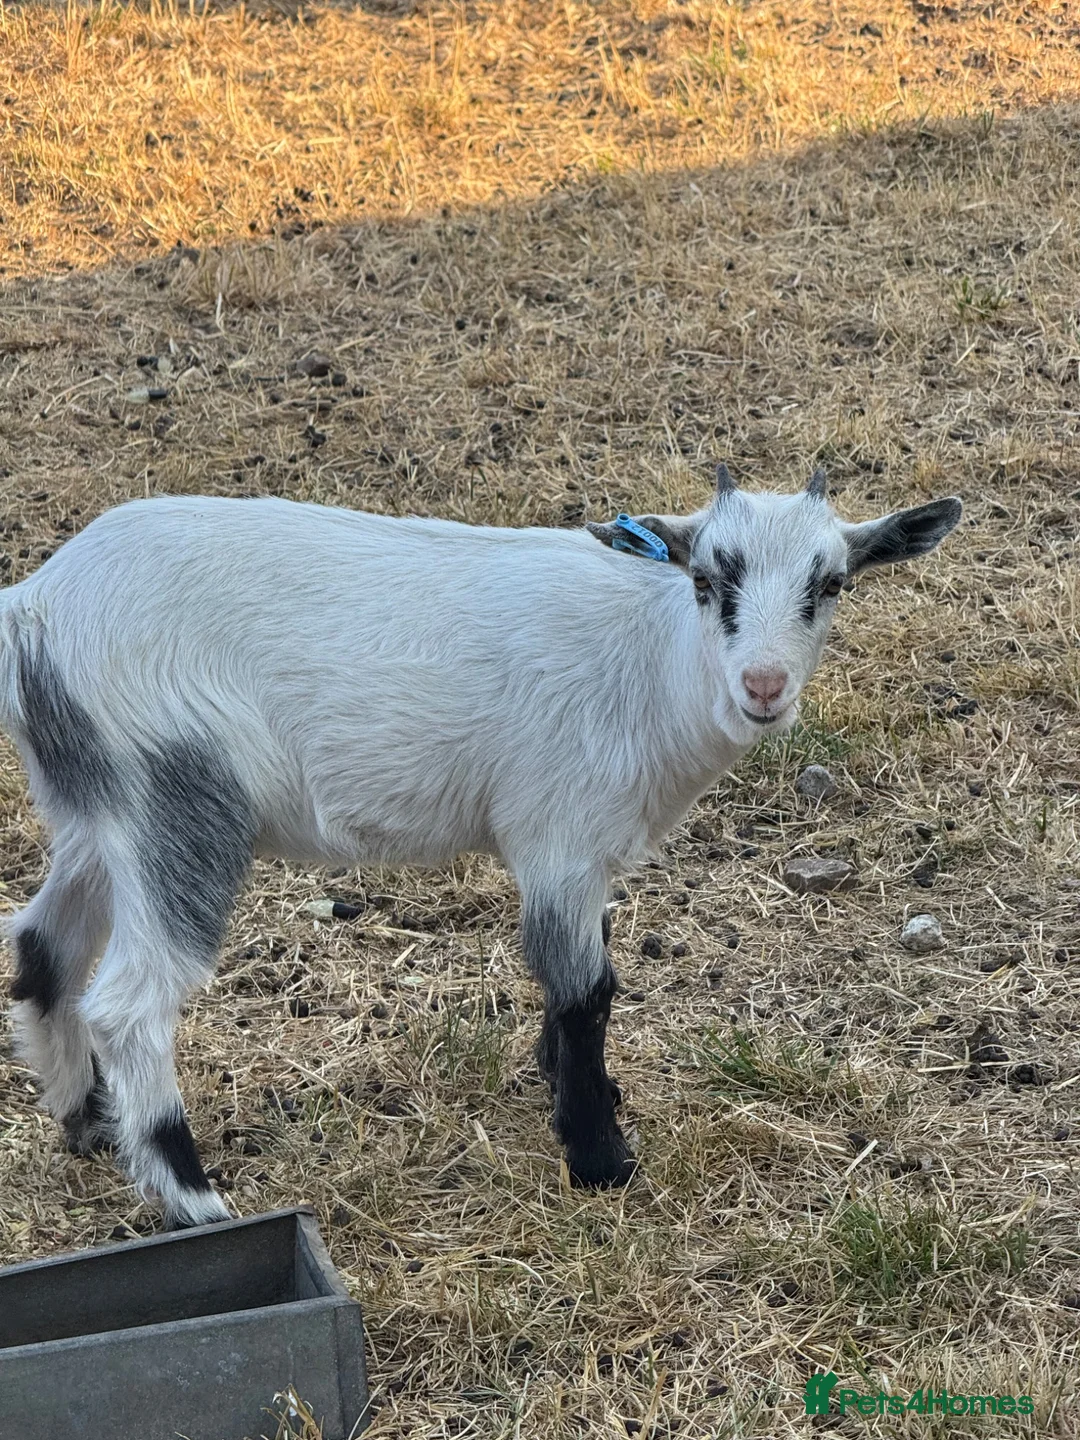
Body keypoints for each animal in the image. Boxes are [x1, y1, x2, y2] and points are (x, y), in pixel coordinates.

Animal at [1, 467, 961, 1226]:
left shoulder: (583, 854)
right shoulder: (559, 835)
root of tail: (35, 606)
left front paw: (575, 1091)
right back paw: (193, 1197)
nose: (763, 686)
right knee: (128, 1003)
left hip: (97, 812)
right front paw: (599, 1156)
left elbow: (587, 967)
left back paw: (86, 1122)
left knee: (44, 942)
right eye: (705, 581)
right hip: (179, 800)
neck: (648, 664)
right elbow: (586, 990)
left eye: (830, 586)